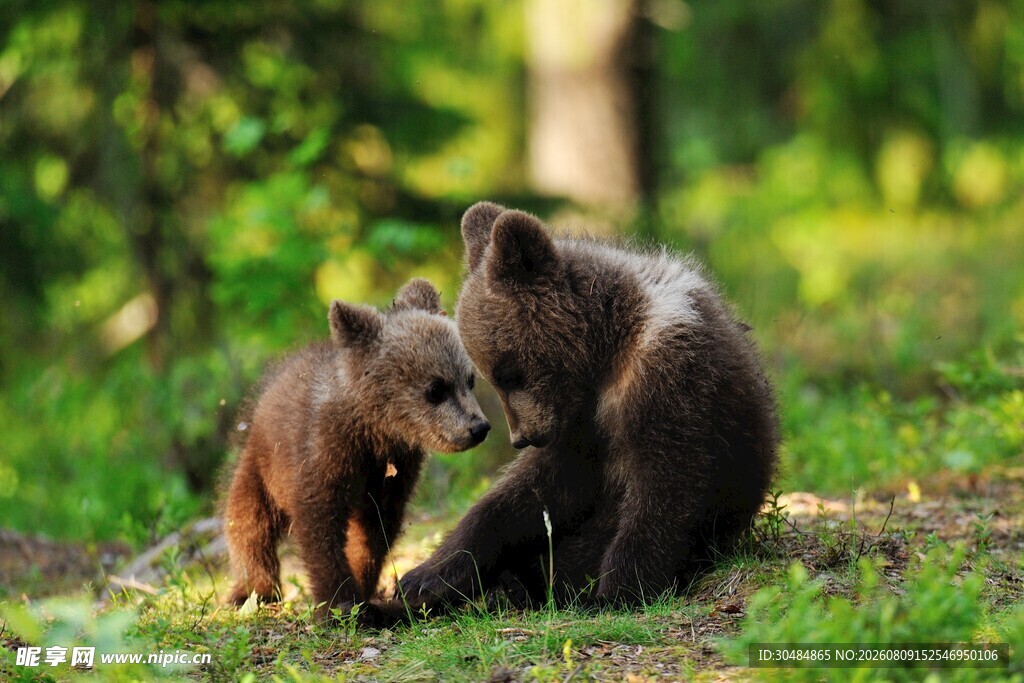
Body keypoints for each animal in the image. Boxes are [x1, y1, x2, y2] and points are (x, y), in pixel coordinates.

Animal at [223, 278, 490, 619]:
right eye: (435, 389)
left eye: (469, 379)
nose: (478, 428)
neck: (374, 430)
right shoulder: (323, 453)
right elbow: (319, 525)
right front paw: (338, 600)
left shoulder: (393, 469)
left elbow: (375, 530)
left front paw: (362, 588)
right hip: (260, 465)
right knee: (247, 524)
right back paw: (252, 590)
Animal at [398, 203, 779, 609]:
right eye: (488, 377)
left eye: (509, 373)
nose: (521, 438)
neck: (606, 352)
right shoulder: (577, 421)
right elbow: (538, 489)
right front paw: (424, 576)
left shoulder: (669, 377)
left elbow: (666, 482)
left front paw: (619, 587)